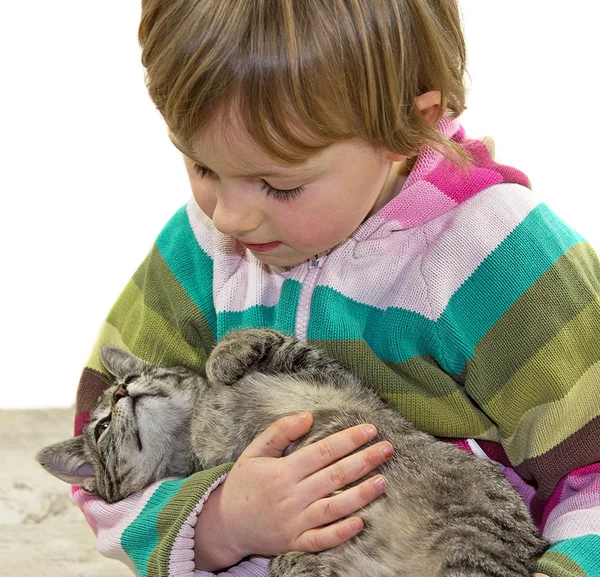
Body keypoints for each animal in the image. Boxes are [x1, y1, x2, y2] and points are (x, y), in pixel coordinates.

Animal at [35, 328, 548, 576]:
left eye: (132, 377)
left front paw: (222, 362)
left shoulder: (319, 367)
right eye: (101, 426)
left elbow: (250, 336)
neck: (197, 423)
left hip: (468, 539)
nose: (123, 390)